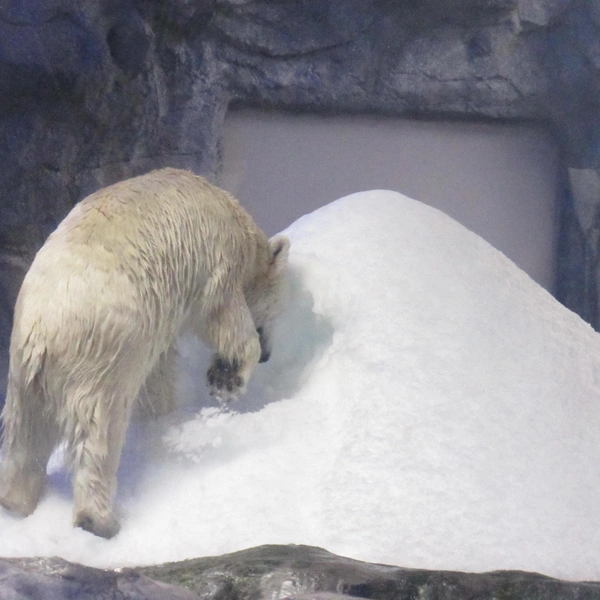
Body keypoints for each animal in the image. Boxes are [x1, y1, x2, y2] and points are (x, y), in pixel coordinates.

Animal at [0, 169, 290, 540]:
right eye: (274, 313)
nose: (268, 355)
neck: (236, 218)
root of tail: (44, 328)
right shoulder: (214, 261)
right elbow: (222, 316)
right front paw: (227, 379)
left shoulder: (158, 320)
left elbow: (158, 377)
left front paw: (164, 415)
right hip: (103, 354)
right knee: (99, 430)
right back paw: (99, 520)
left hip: (24, 371)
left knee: (24, 433)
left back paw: (15, 500)